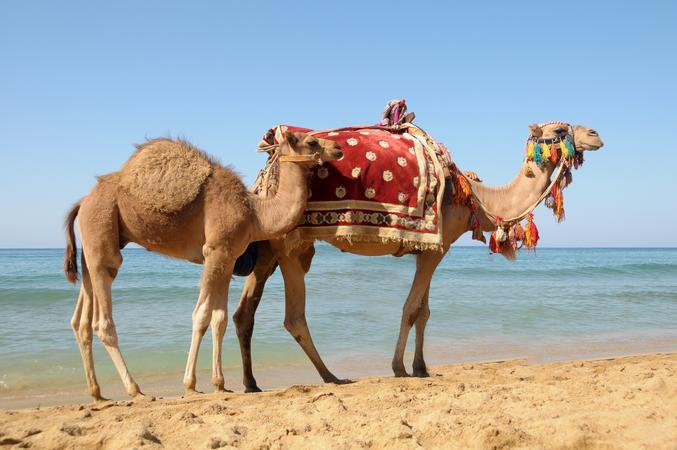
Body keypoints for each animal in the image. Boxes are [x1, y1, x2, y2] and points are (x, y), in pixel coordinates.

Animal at [63, 132, 343, 401]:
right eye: (312, 141)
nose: (338, 148)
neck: (255, 213)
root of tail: (82, 203)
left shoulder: (227, 258)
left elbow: (219, 318)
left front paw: (219, 384)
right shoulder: (215, 251)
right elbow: (201, 315)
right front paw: (190, 385)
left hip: (93, 247)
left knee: (80, 321)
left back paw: (97, 393)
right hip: (101, 232)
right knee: (103, 319)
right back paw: (135, 391)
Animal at [232, 122, 604, 392]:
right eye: (560, 130)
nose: (595, 134)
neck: (477, 199)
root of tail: (268, 170)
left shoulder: (430, 250)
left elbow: (425, 312)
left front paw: (421, 367)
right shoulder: (435, 249)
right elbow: (412, 309)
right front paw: (400, 368)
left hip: (269, 248)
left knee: (245, 312)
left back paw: (251, 384)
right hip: (290, 245)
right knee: (293, 317)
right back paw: (331, 376)